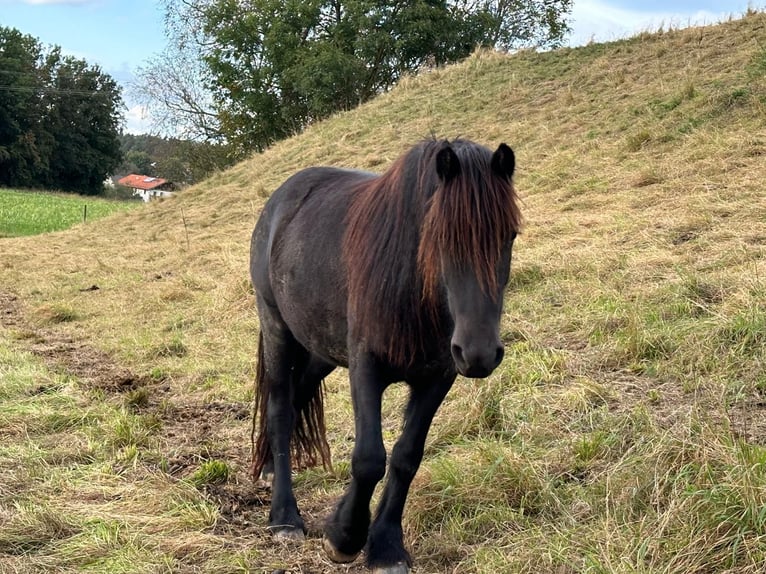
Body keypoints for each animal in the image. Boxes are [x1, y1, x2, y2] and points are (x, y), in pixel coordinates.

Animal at [250, 137, 520, 572]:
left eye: (509, 234)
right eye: (438, 236)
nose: (479, 353)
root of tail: (280, 198)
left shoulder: (438, 376)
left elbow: (407, 457)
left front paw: (386, 546)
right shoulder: (366, 368)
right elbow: (369, 459)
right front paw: (344, 536)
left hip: (322, 349)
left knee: (296, 398)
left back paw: (273, 468)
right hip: (277, 328)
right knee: (278, 409)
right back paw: (285, 517)